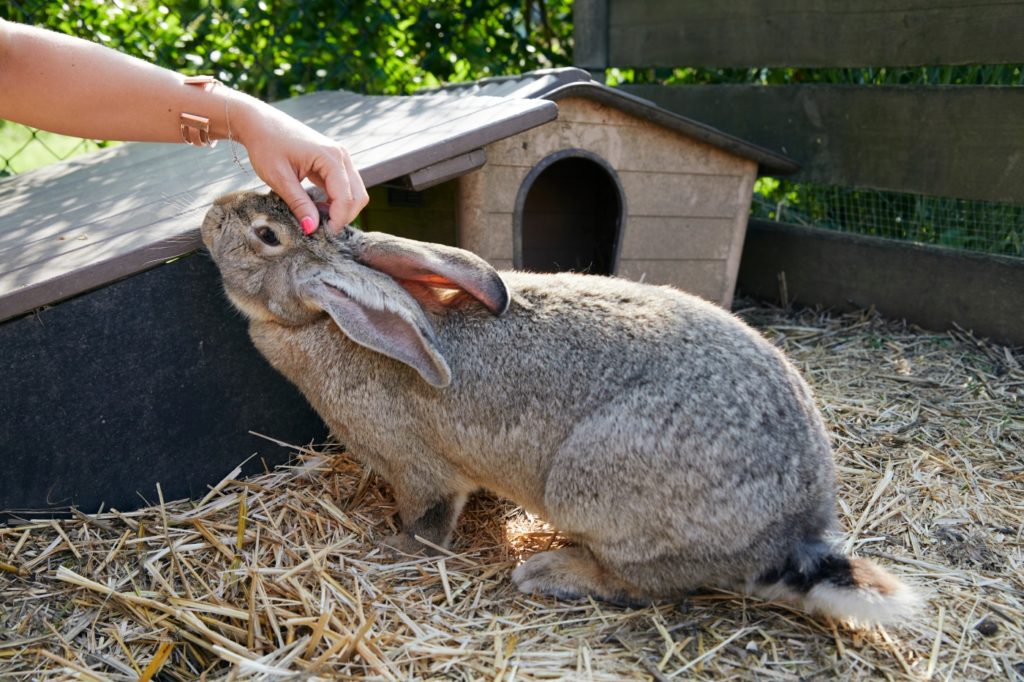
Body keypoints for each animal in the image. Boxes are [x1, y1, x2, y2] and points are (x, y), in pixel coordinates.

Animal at [201, 188, 921, 622]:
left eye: (265, 234)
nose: (211, 212)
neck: (323, 323)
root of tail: (794, 532)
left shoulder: (418, 471)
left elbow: (428, 519)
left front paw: (394, 548)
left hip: (596, 490)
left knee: (651, 585)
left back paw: (551, 570)